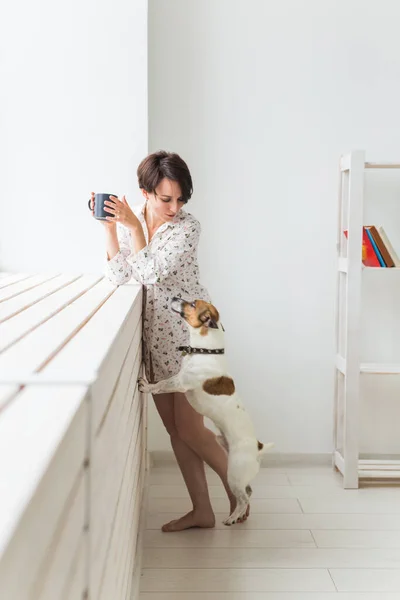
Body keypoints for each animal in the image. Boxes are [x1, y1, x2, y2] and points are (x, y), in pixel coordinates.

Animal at [139, 296, 274, 524]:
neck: (205, 351)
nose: (174, 297)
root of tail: (258, 447)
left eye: (193, 304)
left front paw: (147, 386)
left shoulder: (180, 383)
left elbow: (162, 384)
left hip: (234, 472)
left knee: (244, 498)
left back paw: (233, 518)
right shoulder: (179, 378)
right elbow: (163, 382)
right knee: (248, 491)